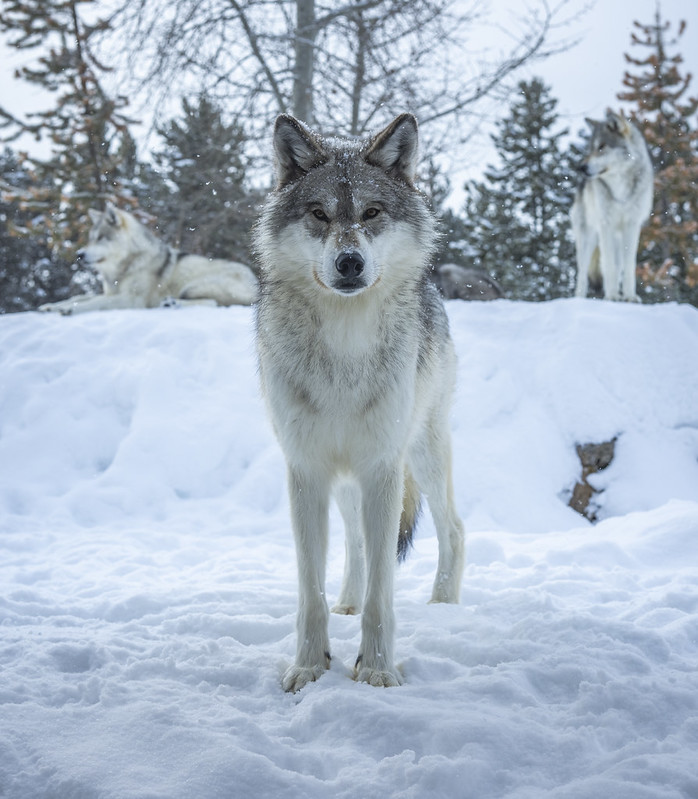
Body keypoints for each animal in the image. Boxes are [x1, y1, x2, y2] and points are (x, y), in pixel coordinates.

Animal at [39, 203, 258, 314]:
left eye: (101, 238)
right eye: (91, 238)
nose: (79, 254)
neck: (126, 265)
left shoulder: (131, 299)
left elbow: (92, 302)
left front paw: (66, 309)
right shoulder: (111, 293)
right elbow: (78, 298)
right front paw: (50, 306)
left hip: (194, 286)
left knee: (216, 303)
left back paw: (172, 304)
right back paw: (170, 304)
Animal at [254, 113, 465, 692]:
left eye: (371, 213)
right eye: (319, 213)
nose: (349, 262)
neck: (344, 349)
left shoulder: (382, 467)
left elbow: (383, 591)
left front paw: (375, 669)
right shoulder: (306, 470)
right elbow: (311, 591)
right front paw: (309, 665)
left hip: (422, 455)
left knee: (452, 529)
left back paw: (444, 605)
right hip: (350, 482)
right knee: (354, 546)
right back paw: (347, 601)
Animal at [570, 109, 653, 301]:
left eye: (602, 147)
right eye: (590, 149)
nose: (581, 168)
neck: (620, 189)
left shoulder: (632, 225)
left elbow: (629, 265)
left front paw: (629, 297)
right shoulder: (605, 225)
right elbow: (608, 265)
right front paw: (612, 296)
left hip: (617, 239)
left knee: (619, 264)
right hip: (589, 238)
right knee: (582, 273)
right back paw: (579, 299)